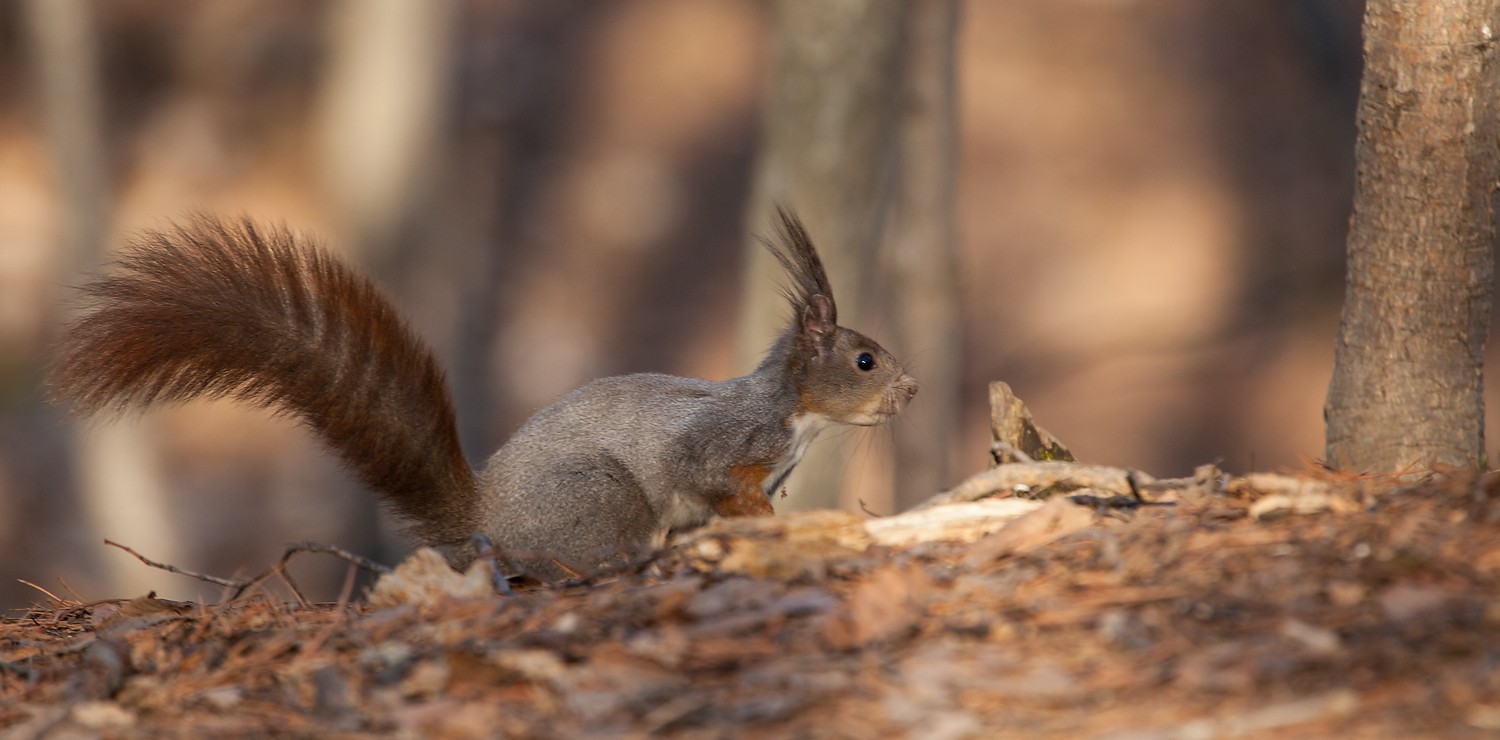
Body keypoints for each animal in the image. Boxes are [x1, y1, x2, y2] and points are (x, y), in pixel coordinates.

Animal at [48, 207, 918, 580]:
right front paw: (772, 522)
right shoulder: (724, 444)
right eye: (865, 360)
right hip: (598, 498)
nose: (911, 390)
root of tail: (482, 522)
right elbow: (713, 478)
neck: (797, 417)